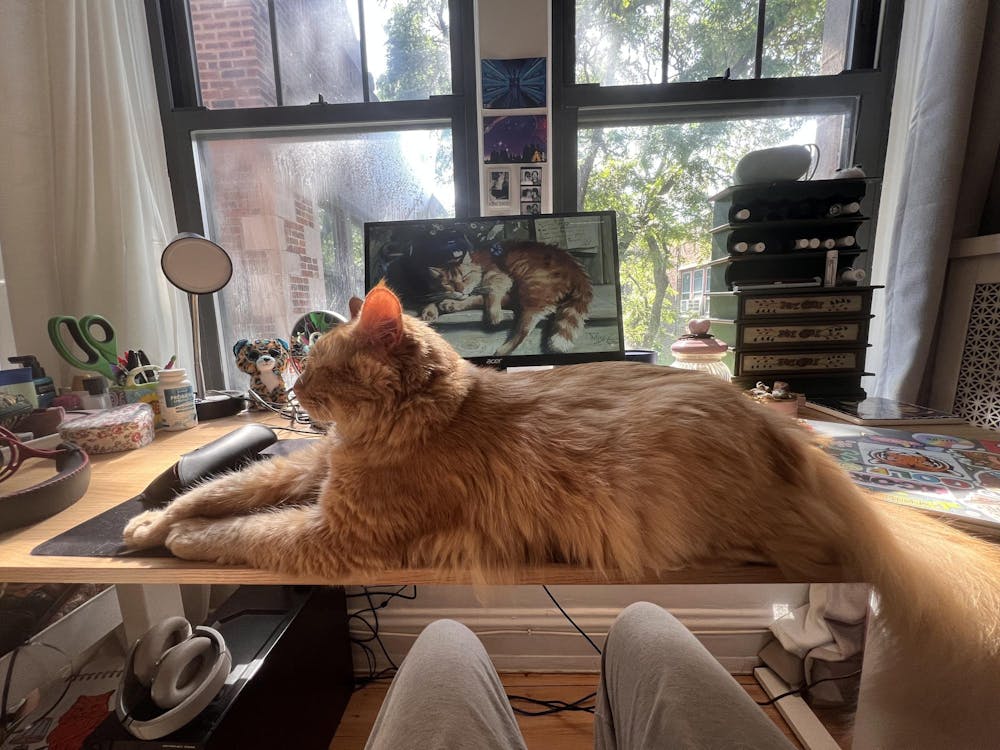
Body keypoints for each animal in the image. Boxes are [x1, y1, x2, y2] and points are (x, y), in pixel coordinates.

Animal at [127, 284, 1000, 748]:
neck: (428, 417)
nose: (296, 395)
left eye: (326, 367)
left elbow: (241, 530)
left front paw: (180, 537)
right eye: (304, 366)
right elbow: (229, 485)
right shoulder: (315, 472)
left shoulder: (335, 531)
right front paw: (148, 523)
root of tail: (786, 432)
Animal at [418, 242, 588, 356]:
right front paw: (430, 309)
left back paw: (504, 348)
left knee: (526, 324)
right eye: (448, 283)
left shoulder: (499, 276)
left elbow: (489, 294)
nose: (460, 290)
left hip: (531, 283)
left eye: (465, 277)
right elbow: (435, 298)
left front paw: (493, 312)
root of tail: (577, 271)